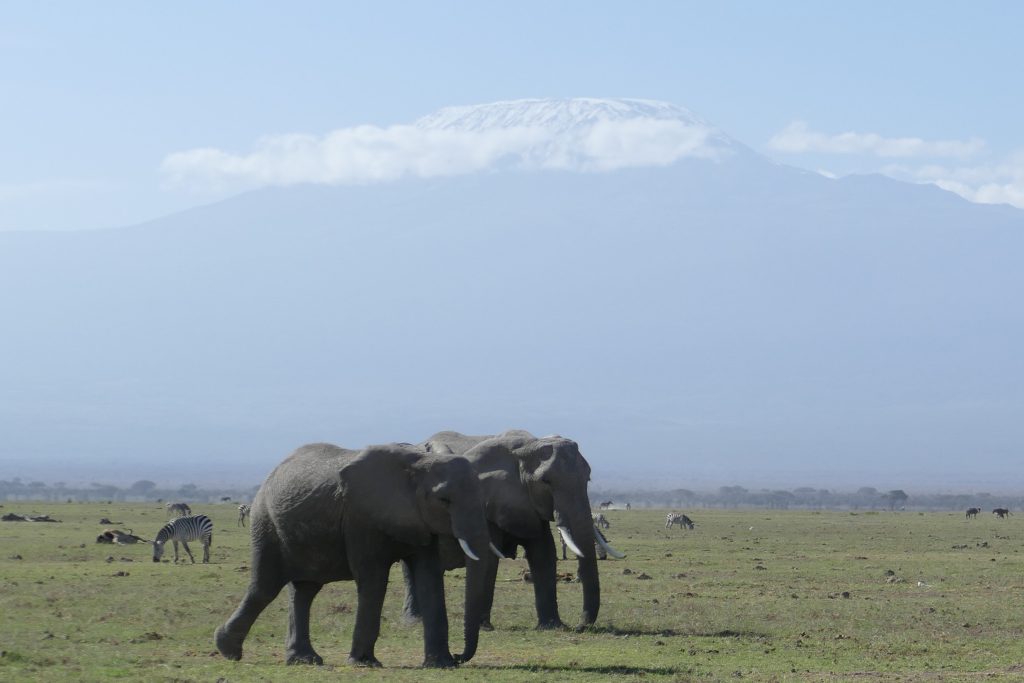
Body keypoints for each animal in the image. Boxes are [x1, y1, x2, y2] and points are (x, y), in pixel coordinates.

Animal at [212, 444, 495, 667]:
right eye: (444, 500)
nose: (459, 656)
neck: (418, 462)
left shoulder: (420, 519)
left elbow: (429, 578)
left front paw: (441, 665)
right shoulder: (360, 518)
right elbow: (373, 579)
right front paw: (364, 663)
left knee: (304, 591)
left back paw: (304, 660)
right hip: (265, 523)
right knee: (265, 587)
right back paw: (227, 650)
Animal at [403, 430, 618, 659]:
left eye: (588, 478)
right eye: (546, 481)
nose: (580, 626)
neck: (526, 448)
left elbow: (544, 554)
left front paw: (553, 626)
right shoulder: (487, 502)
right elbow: (490, 559)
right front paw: (485, 627)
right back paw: (414, 621)